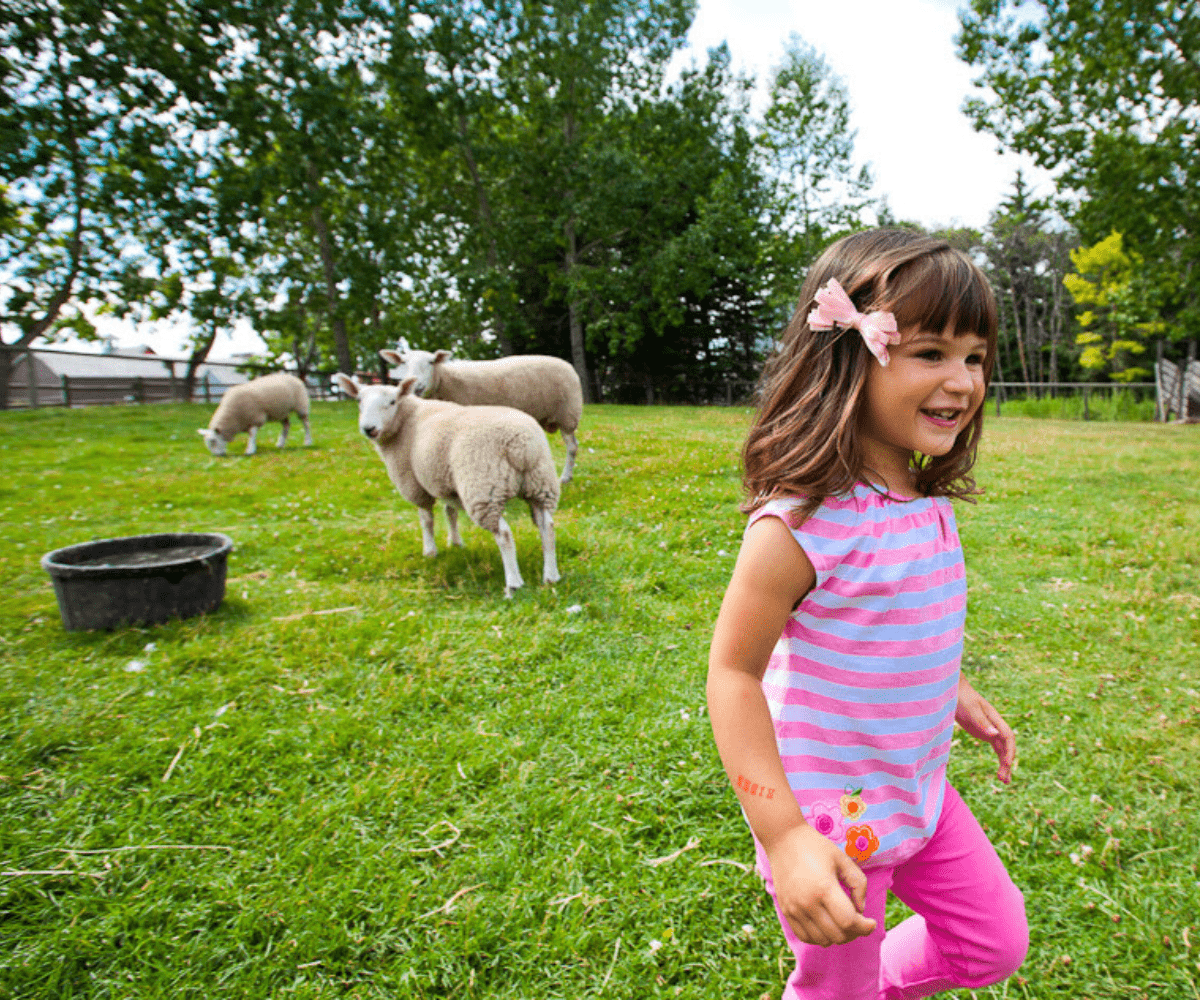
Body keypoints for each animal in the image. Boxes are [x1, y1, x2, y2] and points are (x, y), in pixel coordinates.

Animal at [333, 372, 561, 593]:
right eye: (359, 401)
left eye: (392, 401)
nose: (368, 428)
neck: (405, 421)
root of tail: (522, 445)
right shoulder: (446, 483)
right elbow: (450, 512)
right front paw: (455, 542)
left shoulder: (415, 485)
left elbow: (426, 519)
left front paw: (430, 551)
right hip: (540, 484)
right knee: (547, 527)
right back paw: (551, 576)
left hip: (483, 489)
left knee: (504, 534)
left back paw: (514, 582)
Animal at [374, 348, 580, 480]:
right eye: (403, 362)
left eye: (431, 362)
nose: (416, 386)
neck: (444, 380)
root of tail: (567, 364)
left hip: (567, 414)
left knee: (572, 447)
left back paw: (565, 477)